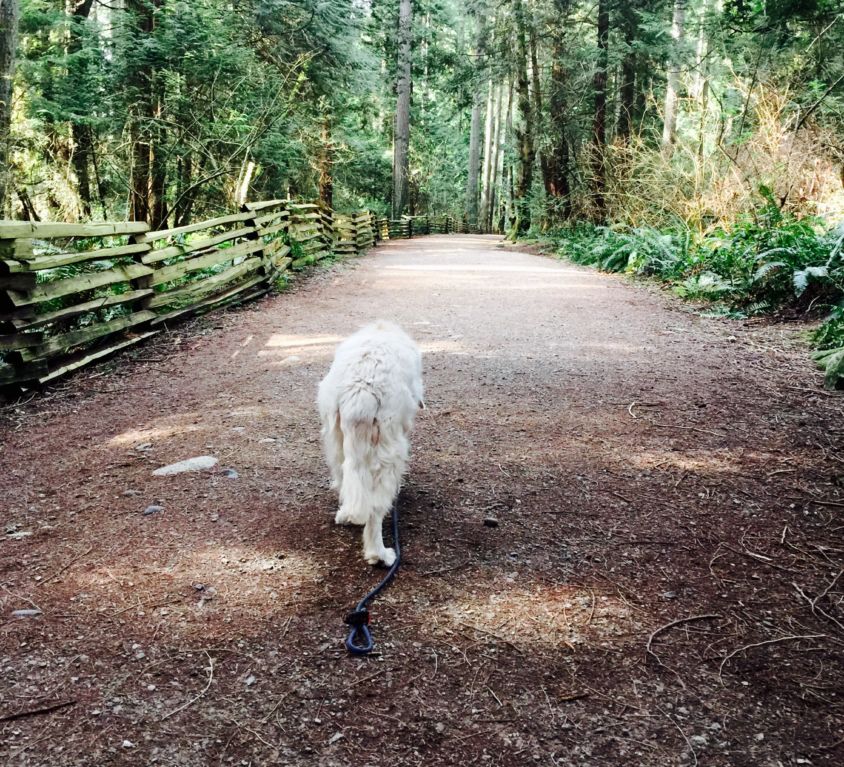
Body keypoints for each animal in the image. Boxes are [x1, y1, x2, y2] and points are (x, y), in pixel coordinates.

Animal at [316, 320, 422, 568]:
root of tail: (360, 391)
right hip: (388, 453)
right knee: (374, 511)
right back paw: (380, 555)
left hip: (335, 442)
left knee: (346, 481)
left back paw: (344, 515)